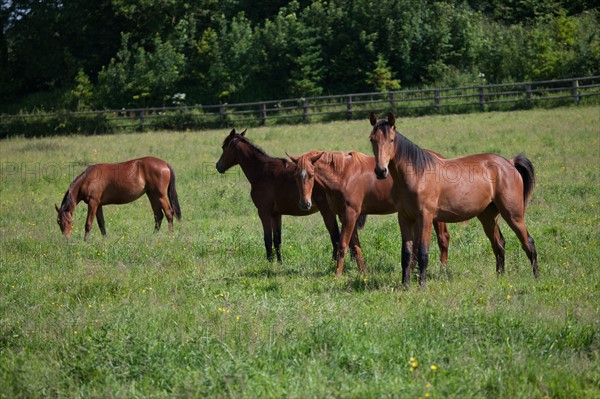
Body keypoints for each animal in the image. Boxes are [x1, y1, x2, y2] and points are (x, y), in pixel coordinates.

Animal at [214, 130, 342, 264]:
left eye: (223, 147)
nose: (218, 166)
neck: (262, 171)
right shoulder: (276, 214)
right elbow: (277, 241)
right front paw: (279, 263)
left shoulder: (264, 213)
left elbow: (268, 240)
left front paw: (270, 262)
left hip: (327, 211)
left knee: (336, 238)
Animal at [288, 151, 450, 278]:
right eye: (295, 176)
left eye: (311, 175)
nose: (304, 204)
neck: (343, 175)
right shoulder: (344, 216)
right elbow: (355, 246)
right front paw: (363, 271)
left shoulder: (351, 214)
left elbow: (343, 244)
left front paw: (337, 274)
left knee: (443, 239)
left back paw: (442, 270)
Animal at [368, 112, 540, 288]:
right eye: (372, 139)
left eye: (391, 140)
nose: (381, 171)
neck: (417, 175)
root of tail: (509, 163)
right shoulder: (404, 218)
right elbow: (406, 254)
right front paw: (406, 285)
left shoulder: (426, 218)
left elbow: (423, 253)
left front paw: (422, 286)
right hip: (488, 216)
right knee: (499, 244)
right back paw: (501, 278)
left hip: (513, 215)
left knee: (528, 242)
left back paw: (537, 278)